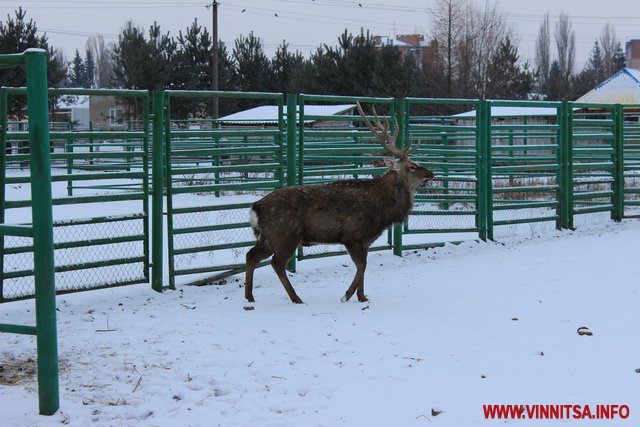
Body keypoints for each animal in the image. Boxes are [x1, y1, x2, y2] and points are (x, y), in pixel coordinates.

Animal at [245, 102, 436, 304]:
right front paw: (347, 295)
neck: (381, 210)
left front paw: (362, 297)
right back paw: (296, 298)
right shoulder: (352, 236)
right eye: (412, 166)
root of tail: (255, 208)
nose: (431, 173)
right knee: (277, 263)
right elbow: (362, 266)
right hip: (285, 235)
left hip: (267, 237)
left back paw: (250, 297)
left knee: (251, 256)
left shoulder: (365, 241)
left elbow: (363, 266)